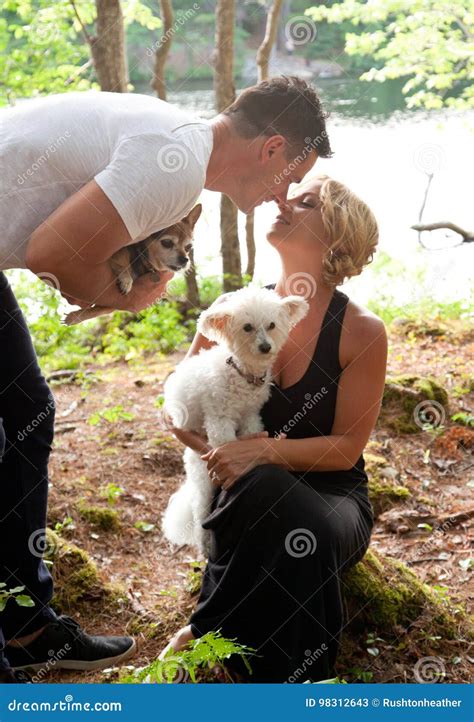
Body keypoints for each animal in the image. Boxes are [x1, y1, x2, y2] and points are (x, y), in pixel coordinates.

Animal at [161, 284, 310, 556]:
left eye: (271, 325)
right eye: (247, 327)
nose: (265, 347)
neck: (242, 374)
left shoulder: (251, 416)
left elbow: (251, 432)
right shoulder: (220, 420)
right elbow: (226, 444)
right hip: (202, 477)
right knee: (201, 513)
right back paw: (206, 545)